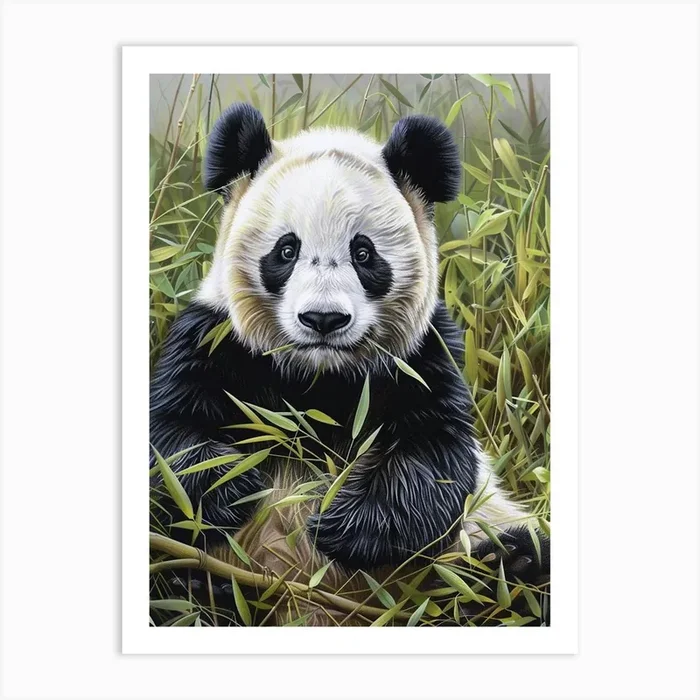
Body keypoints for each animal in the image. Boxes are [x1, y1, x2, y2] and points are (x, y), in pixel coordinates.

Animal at [150, 102, 550, 625]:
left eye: (363, 253)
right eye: (286, 250)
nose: (323, 319)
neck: (317, 374)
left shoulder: (419, 357)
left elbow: (432, 456)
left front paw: (339, 526)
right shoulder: (215, 340)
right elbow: (173, 441)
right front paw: (236, 486)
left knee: (516, 563)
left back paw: (509, 566)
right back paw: (201, 586)